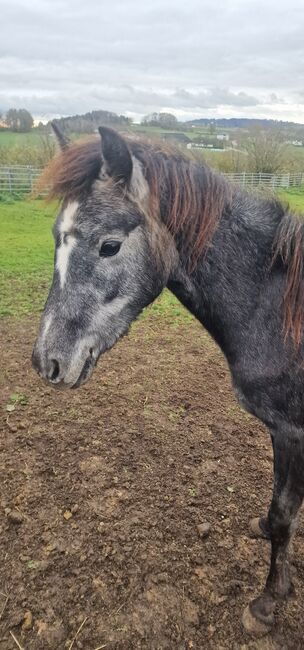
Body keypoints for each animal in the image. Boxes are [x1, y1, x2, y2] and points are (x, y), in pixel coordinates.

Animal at [31, 124, 304, 636]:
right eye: (57, 238)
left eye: (109, 245)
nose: (47, 362)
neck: (277, 308)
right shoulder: (283, 433)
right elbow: (282, 508)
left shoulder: (293, 430)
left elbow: (284, 515)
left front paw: (267, 603)